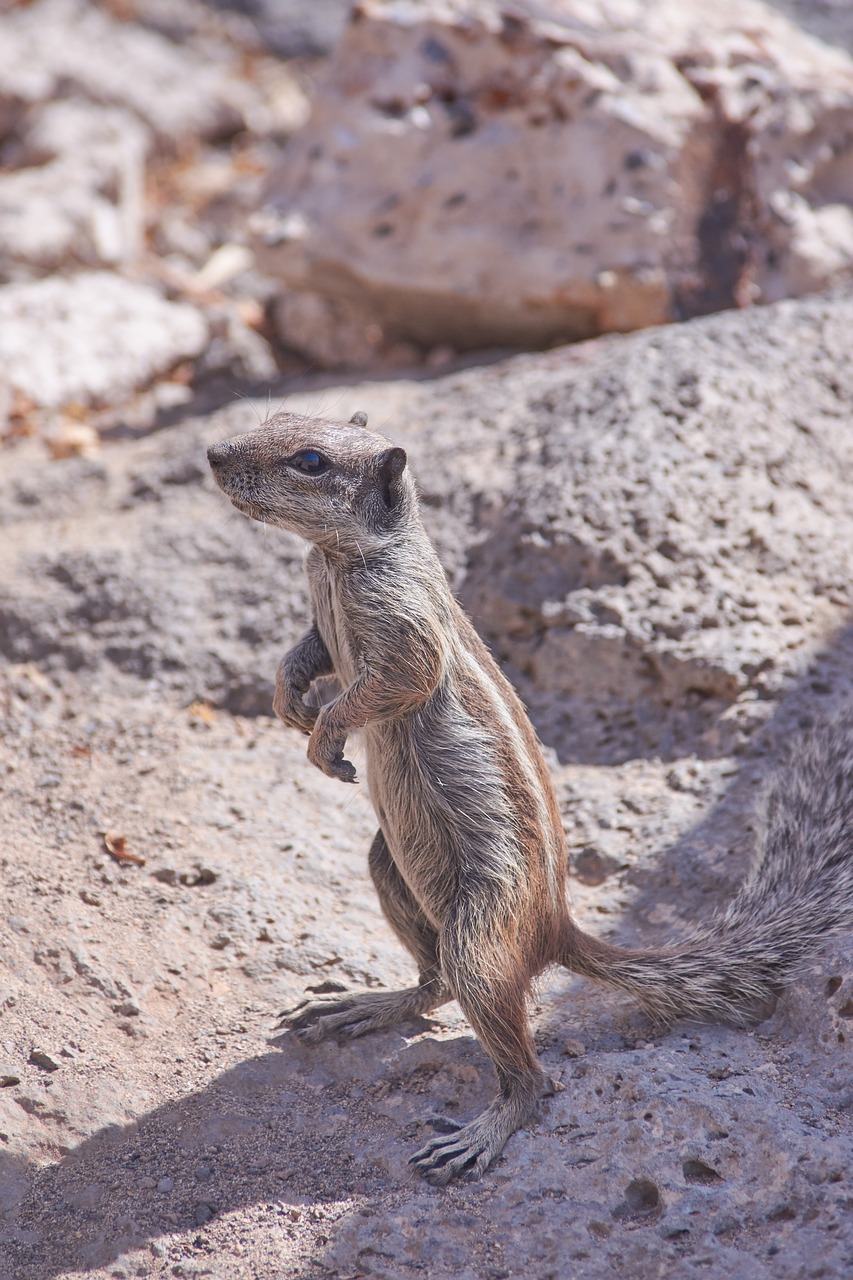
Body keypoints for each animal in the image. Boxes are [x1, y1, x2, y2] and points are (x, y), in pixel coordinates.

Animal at [208, 414, 850, 1182]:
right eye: (276, 421)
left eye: (309, 461)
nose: (213, 455)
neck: (338, 560)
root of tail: (556, 928)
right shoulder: (322, 610)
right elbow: (307, 651)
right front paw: (289, 699)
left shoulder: (403, 633)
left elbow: (390, 683)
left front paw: (325, 733)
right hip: (390, 868)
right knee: (433, 984)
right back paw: (368, 1005)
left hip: (481, 932)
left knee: (527, 1069)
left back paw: (481, 1131)